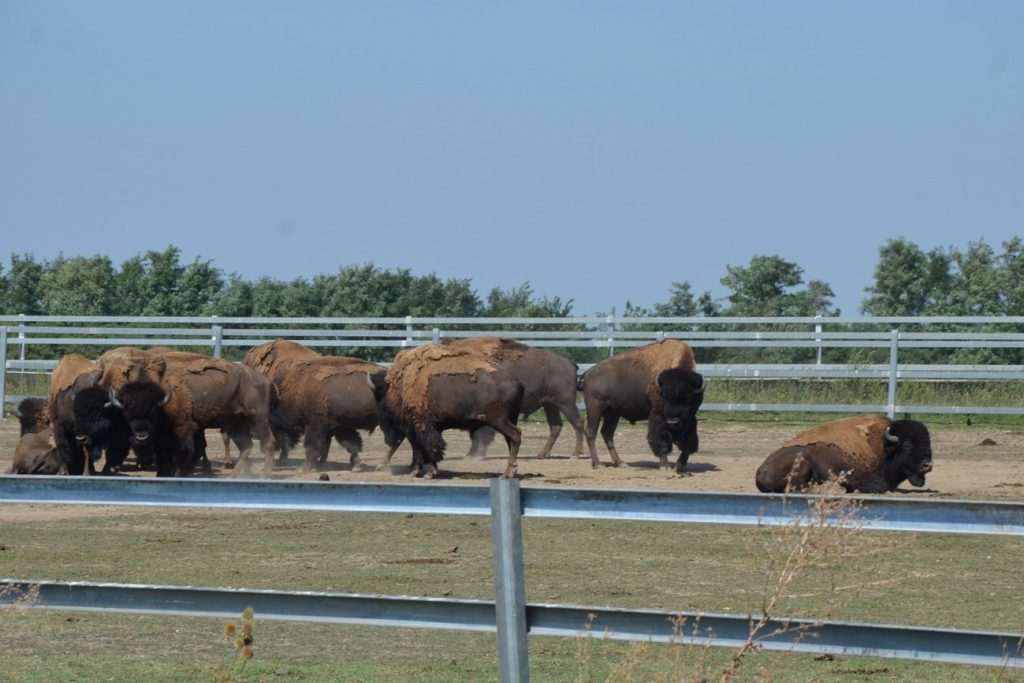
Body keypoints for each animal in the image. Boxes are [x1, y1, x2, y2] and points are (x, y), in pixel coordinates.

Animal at [368, 342, 524, 481]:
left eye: (379, 401)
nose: (387, 436)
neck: (399, 387)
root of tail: (515, 382)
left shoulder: (421, 427)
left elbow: (426, 448)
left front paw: (426, 473)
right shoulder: (426, 428)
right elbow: (421, 448)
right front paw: (418, 472)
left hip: (498, 420)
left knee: (515, 435)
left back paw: (507, 474)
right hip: (508, 419)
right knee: (511, 440)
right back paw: (510, 472)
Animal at [581, 339, 708, 473]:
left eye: (688, 398)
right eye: (664, 396)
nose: (673, 421)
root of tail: (588, 373)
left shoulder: (690, 418)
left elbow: (689, 441)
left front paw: (680, 464)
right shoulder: (658, 416)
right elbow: (662, 440)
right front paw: (664, 466)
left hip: (613, 414)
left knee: (607, 434)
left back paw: (621, 463)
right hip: (595, 409)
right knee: (591, 433)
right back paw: (598, 464)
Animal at [753, 413, 937, 493]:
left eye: (928, 443)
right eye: (907, 444)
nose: (927, 465)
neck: (883, 446)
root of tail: (760, 471)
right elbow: (879, 486)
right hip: (804, 457)